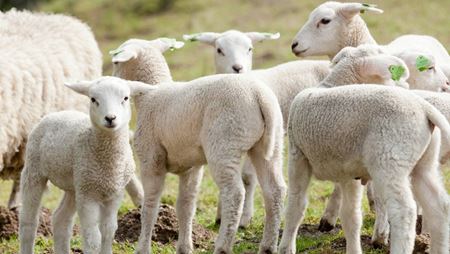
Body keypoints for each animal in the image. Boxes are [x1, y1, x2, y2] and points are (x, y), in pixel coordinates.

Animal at [19, 77, 140, 254]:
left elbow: (108, 231)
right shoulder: (88, 195)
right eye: (93, 99)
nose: (110, 118)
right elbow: (93, 238)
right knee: (28, 221)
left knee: (61, 219)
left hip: (75, 184)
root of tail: (57, 113)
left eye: (125, 98)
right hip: (34, 170)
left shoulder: (114, 194)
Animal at [111, 38, 286, 254]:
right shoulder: (191, 166)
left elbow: (150, 206)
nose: (113, 79)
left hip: (224, 143)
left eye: (116, 61)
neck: (151, 93)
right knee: (275, 190)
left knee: (235, 194)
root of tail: (258, 95)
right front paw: (184, 247)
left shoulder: (151, 159)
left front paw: (142, 248)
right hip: (271, 143)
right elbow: (185, 206)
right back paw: (268, 246)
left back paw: (222, 246)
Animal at [184, 29, 330, 226]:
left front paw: (244, 218)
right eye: (219, 50)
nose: (237, 68)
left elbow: (247, 178)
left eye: (250, 49)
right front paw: (221, 216)